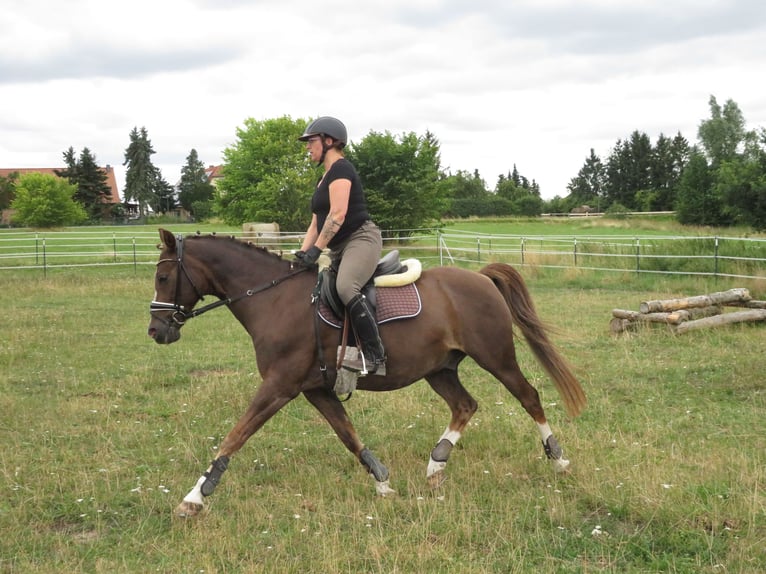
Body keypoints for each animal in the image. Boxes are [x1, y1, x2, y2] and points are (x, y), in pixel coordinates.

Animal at [148, 228, 586, 518]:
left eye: (164, 277)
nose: (156, 331)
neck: (274, 298)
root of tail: (480, 277)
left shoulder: (279, 386)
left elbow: (235, 436)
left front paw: (196, 496)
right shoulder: (315, 390)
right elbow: (348, 434)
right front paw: (382, 482)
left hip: (496, 357)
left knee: (528, 396)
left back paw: (560, 461)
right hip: (439, 369)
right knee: (465, 405)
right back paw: (436, 465)